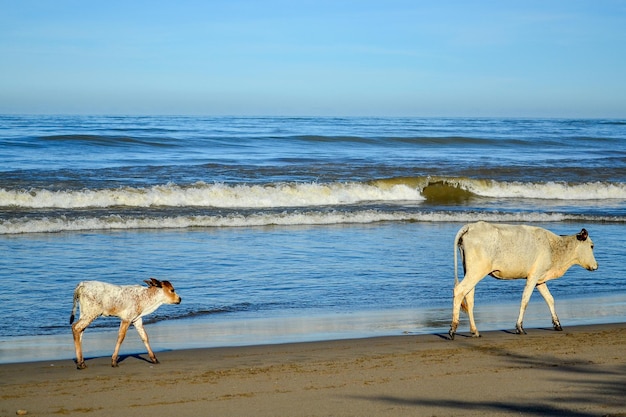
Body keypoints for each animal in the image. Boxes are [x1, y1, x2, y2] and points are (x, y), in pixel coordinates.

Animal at [448, 221, 596, 338]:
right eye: (591, 246)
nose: (596, 266)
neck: (553, 247)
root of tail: (471, 226)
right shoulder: (533, 276)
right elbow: (525, 300)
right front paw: (519, 327)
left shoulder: (540, 279)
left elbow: (550, 299)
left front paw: (557, 324)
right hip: (476, 271)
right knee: (459, 291)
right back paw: (453, 329)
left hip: (471, 271)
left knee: (469, 297)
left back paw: (475, 331)